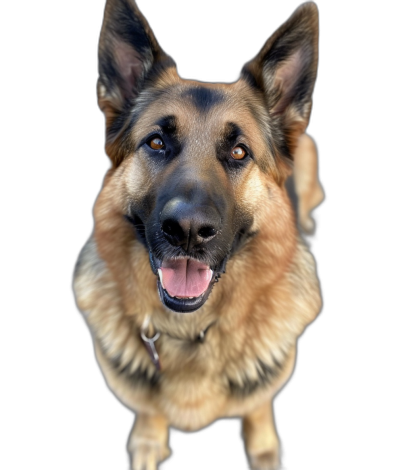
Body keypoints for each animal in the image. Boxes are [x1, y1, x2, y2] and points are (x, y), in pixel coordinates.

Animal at [73, 1, 324, 468]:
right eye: (156, 142)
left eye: (239, 152)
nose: (188, 231)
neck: (191, 329)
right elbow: (149, 417)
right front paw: (148, 440)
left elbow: (259, 420)